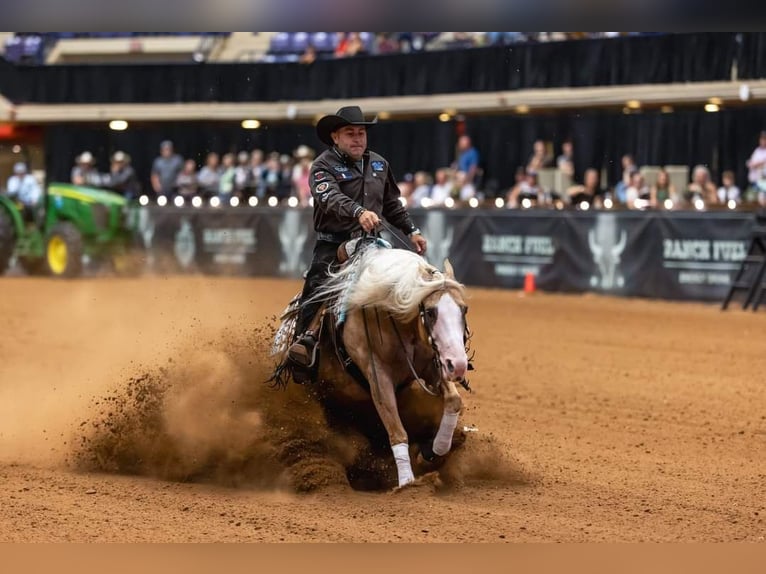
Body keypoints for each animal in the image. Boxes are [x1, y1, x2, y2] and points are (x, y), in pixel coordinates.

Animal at [270, 242, 474, 490]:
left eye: (464, 309)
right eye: (431, 312)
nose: (458, 364)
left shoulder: (434, 364)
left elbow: (454, 401)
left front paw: (431, 451)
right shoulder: (378, 376)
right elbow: (397, 431)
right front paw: (407, 484)